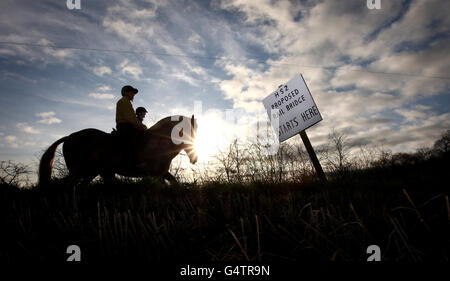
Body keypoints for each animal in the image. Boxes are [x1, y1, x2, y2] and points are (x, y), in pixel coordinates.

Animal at [39, 114, 198, 184]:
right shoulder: (155, 173)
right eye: (189, 132)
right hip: (79, 171)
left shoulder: (161, 173)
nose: (195, 159)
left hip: (91, 172)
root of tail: (69, 137)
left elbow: (175, 184)